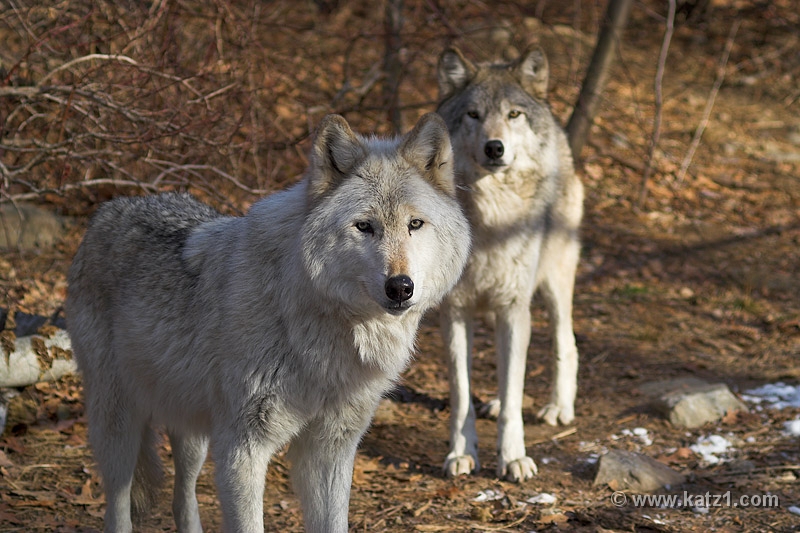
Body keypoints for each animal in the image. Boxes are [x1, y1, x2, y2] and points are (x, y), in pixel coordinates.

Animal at [66, 113, 470, 533]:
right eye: (364, 226)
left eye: (415, 224)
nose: (400, 287)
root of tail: (110, 208)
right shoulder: (242, 447)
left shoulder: (330, 449)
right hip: (120, 424)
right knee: (117, 502)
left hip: (193, 432)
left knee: (183, 495)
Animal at [436, 46, 584, 482]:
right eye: (473, 114)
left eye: (513, 114)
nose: (494, 148)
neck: (491, 219)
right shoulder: (454, 311)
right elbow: (462, 392)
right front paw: (461, 452)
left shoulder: (514, 307)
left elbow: (515, 388)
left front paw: (514, 456)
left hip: (553, 282)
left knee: (565, 343)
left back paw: (558, 407)